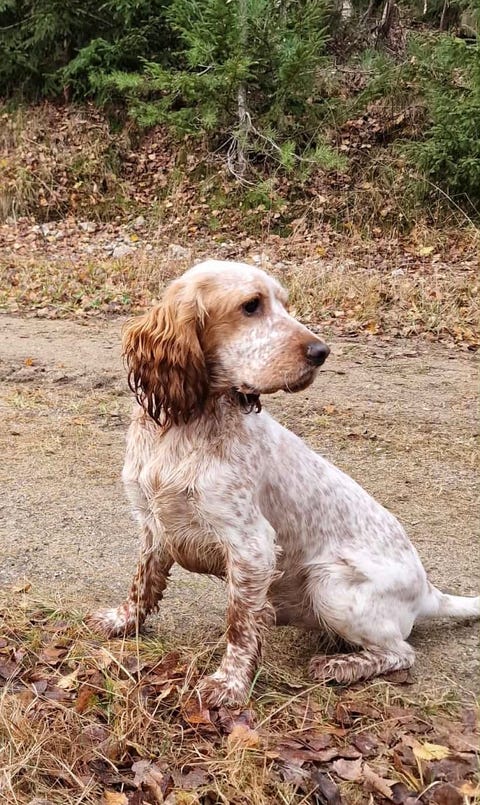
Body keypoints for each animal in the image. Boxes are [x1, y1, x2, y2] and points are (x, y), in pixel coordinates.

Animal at [88, 259, 479, 706]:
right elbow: (142, 583)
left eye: (285, 305)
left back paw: (341, 666)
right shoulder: (152, 523)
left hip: (328, 584)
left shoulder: (252, 545)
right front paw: (121, 622)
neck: (185, 423)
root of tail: (428, 590)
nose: (321, 352)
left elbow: (239, 624)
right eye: (251, 306)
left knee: (401, 652)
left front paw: (229, 684)